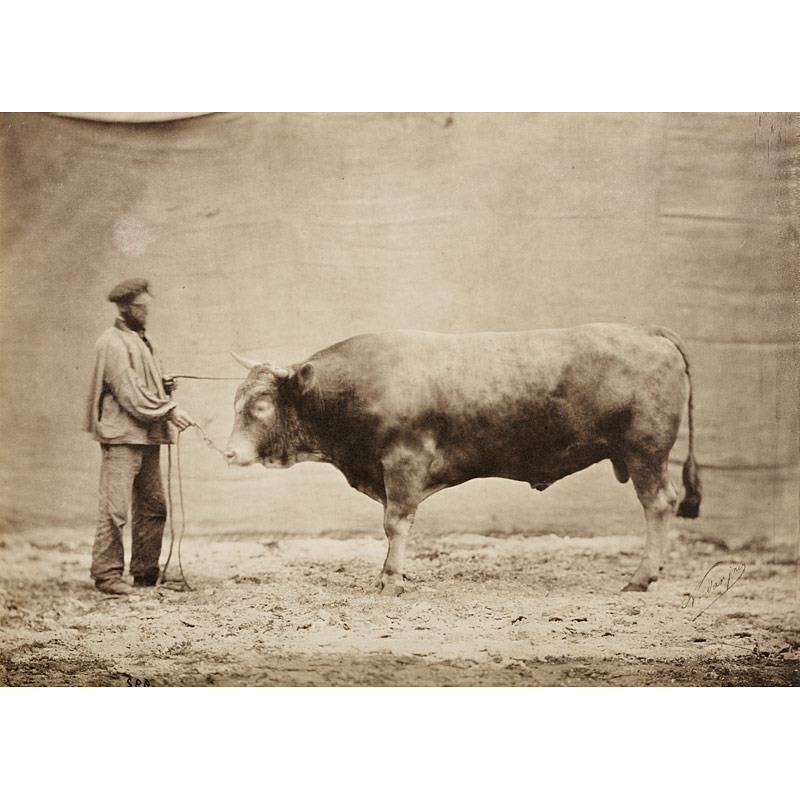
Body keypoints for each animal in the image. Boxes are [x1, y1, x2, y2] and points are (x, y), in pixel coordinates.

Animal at [223, 324, 700, 592]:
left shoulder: (404, 463)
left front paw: (391, 580)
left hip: (645, 451)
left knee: (658, 503)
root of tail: (650, 333)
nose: (229, 452)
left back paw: (641, 577)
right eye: (236, 400)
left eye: (261, 405)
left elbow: (396, 523)